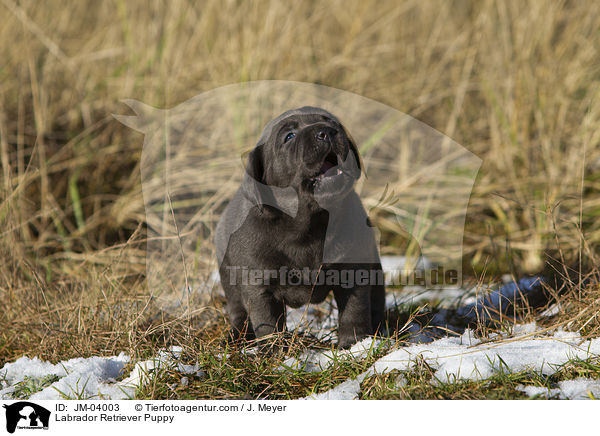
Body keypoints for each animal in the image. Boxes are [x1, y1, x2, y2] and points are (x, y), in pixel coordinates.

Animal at [216, 107, 384, 350]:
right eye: (289, 136)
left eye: (332, 123)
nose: (326, 132)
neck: (307, 223)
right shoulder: (259, 285)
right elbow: (268, 323)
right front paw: (275, 351)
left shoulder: (353, 271)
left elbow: (354, 311)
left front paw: (353, 344)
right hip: (228, 276)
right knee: (239, 311)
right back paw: (236, 337)